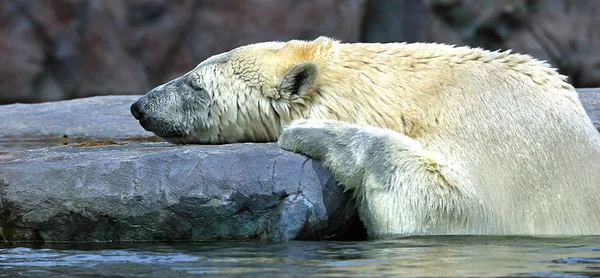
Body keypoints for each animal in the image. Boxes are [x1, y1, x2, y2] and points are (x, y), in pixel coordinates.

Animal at [131, 36, 600, 237]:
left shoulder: (498, 142)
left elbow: (436, 204)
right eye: (191, 71)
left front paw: (307, 130)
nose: (139, 106)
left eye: (195, 84)